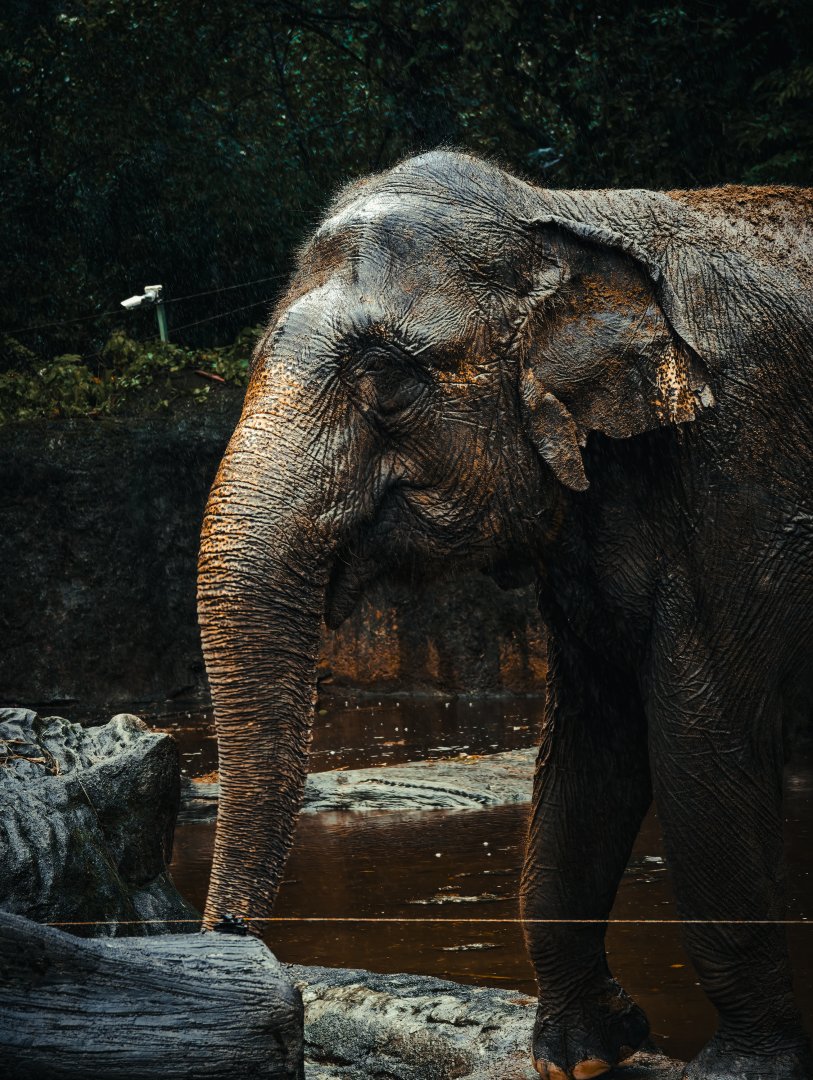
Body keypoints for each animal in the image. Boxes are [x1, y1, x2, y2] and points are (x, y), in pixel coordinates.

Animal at [197, 150, 813, 1079]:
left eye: (387, 382)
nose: (233, 939)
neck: (563, 215)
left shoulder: (744, 476)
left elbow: (705, 738)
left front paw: (742, 1069)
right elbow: (592, 741)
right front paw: (582, 1053)